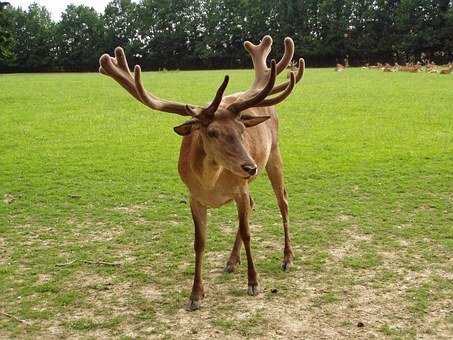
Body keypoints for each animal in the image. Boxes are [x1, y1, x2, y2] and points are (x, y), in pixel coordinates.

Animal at [99, 35, 304, 310]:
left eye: (242, 129)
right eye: (212, 132)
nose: (250, 166)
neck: (210, 183)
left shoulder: (239, 189)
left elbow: (248, 233)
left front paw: (253, 282)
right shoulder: (194, 198)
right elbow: (199, 243)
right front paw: (196, 294)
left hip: (275, 154)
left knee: (283, 202)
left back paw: (287, 258)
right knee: (254, 204)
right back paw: (231, 261)